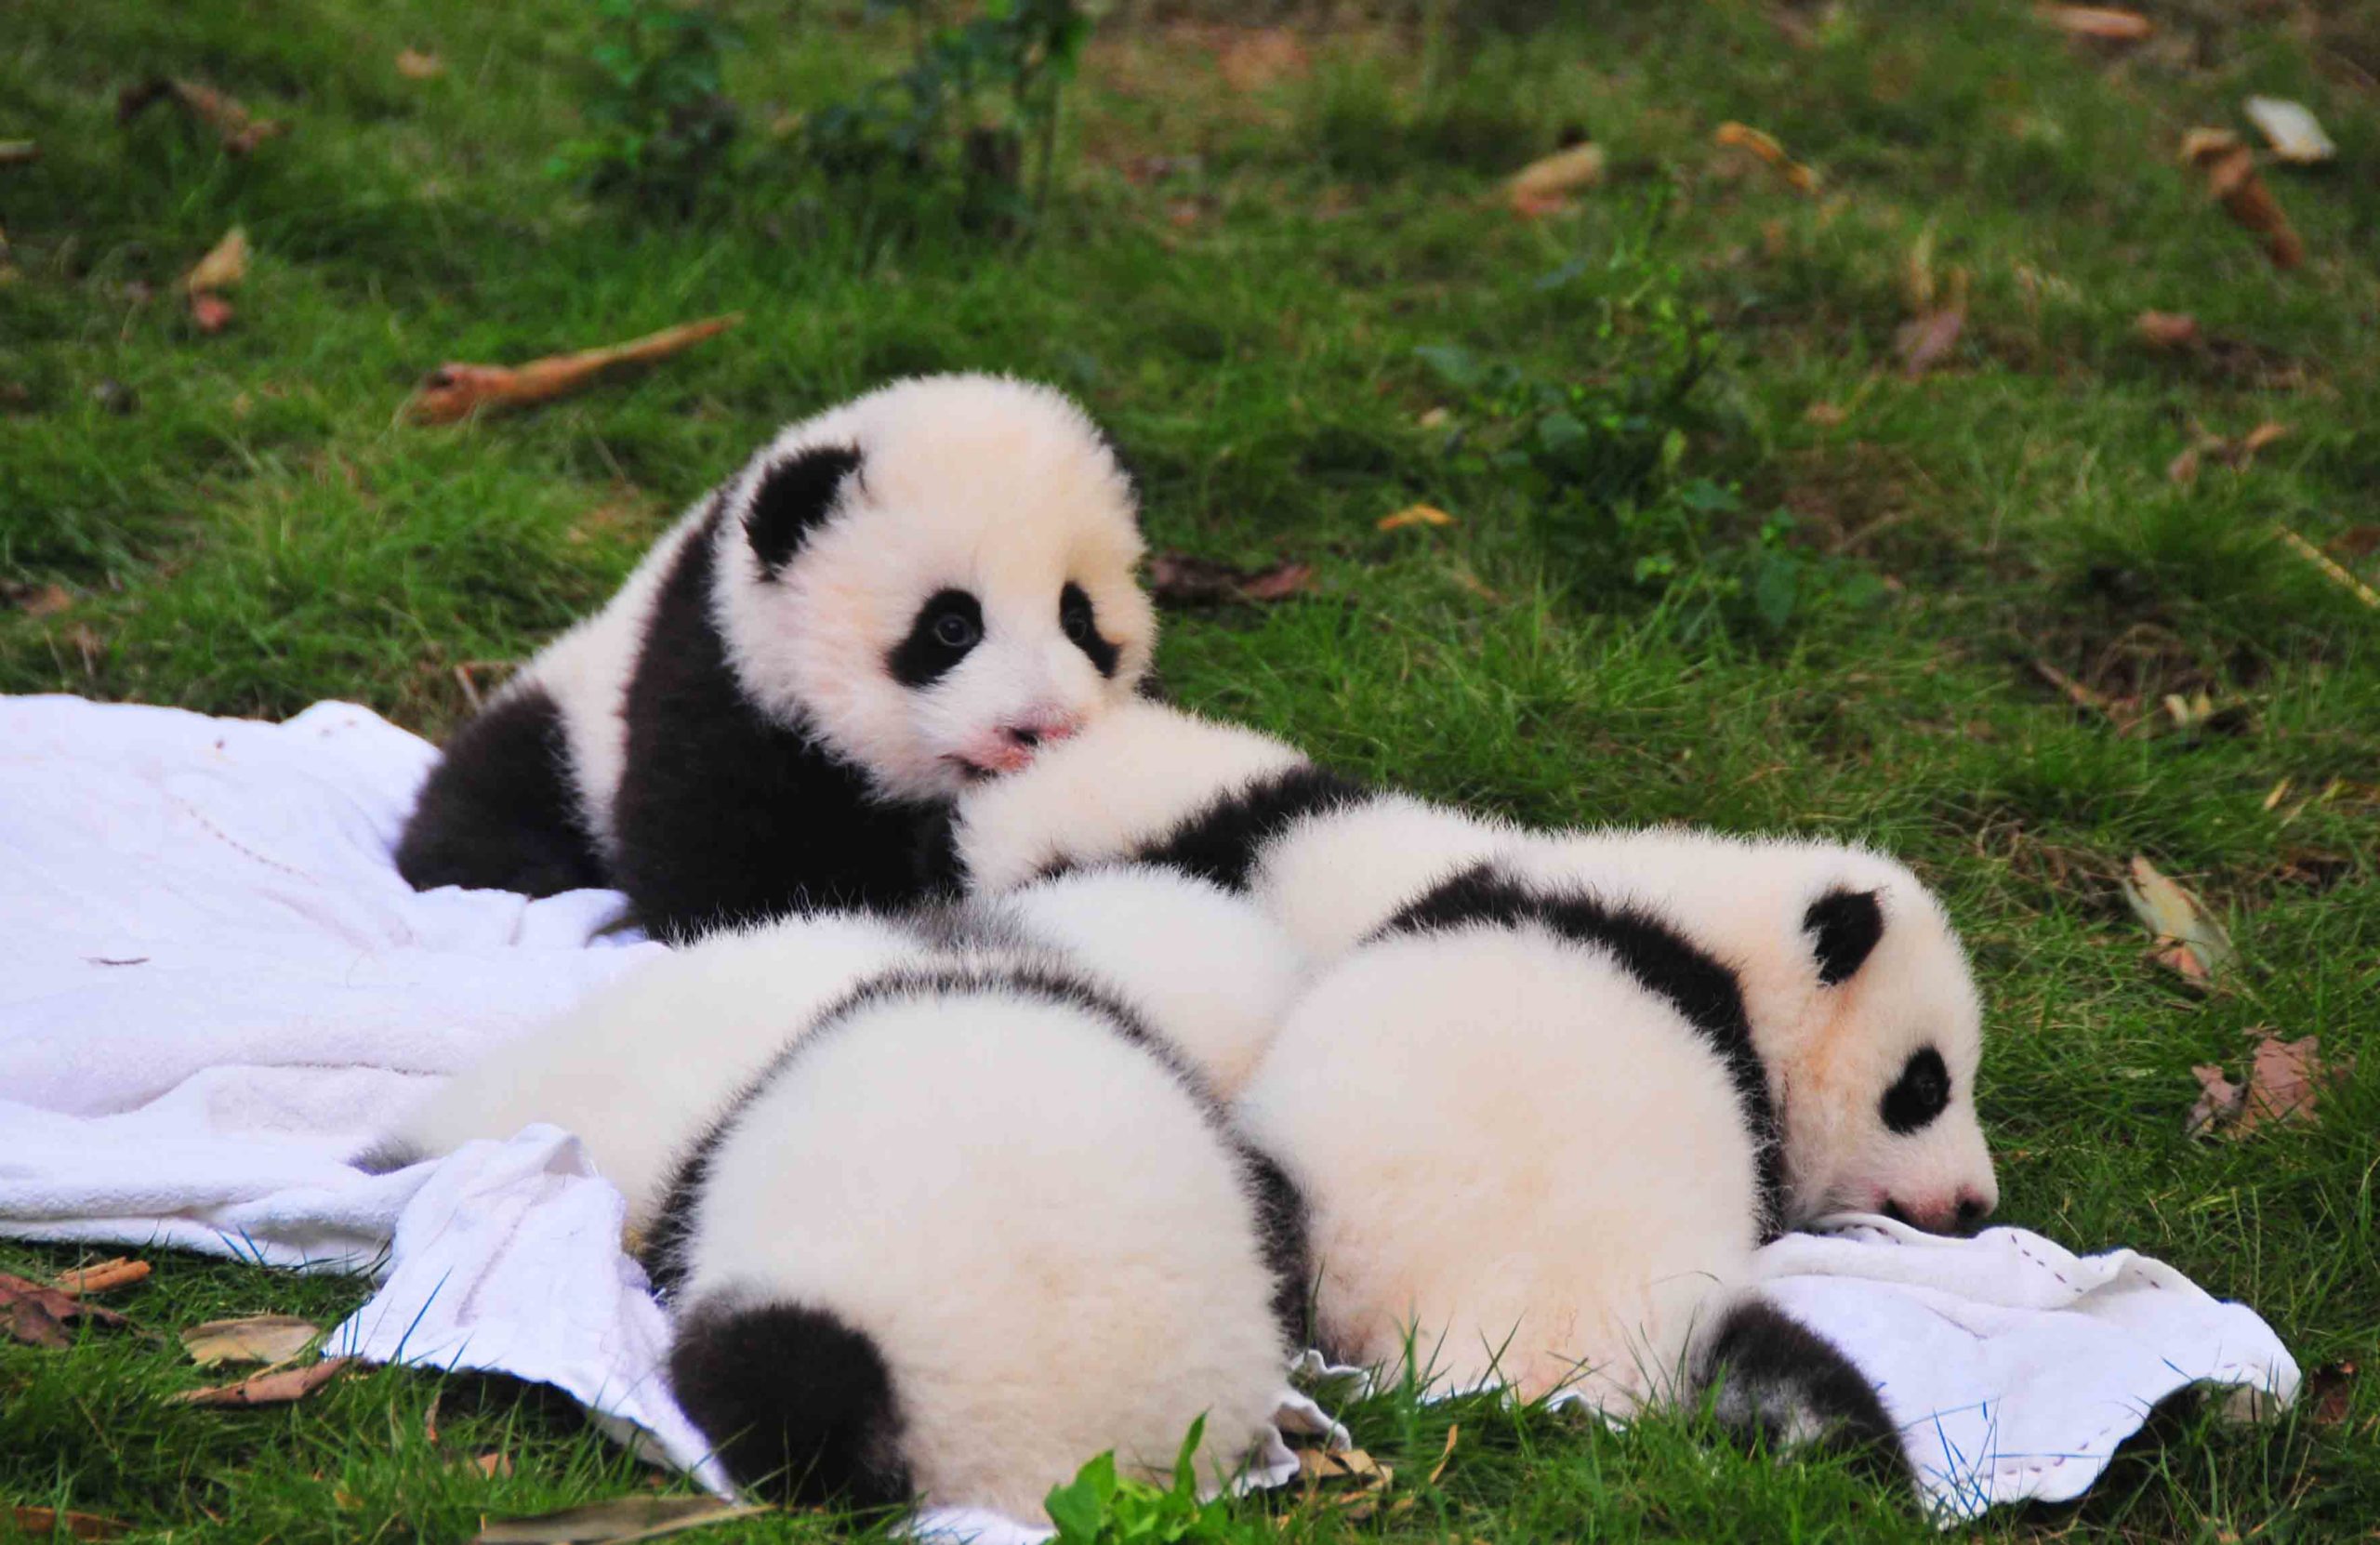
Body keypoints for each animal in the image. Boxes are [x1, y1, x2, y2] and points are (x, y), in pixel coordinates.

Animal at [395, 374, 1158, 942]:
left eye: (1078, 619)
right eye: (951, 627)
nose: (1043, 727)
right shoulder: (715, 688)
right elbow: (729, 883)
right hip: (567, 737)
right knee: (492, 817)